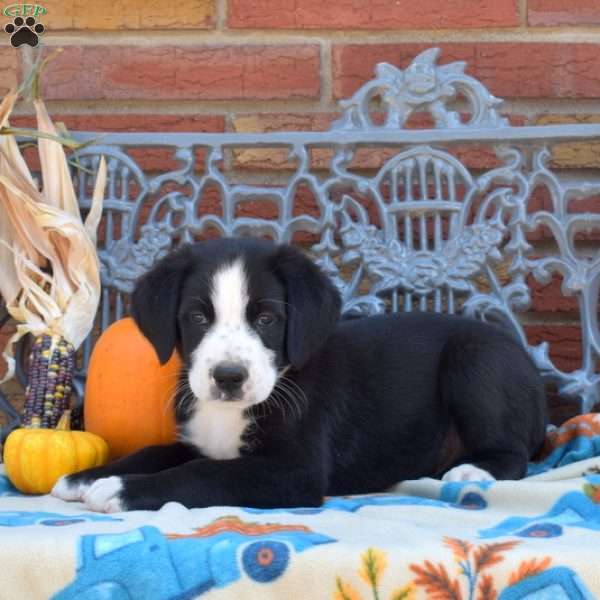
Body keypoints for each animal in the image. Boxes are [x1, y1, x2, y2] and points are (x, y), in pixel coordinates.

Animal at [51, 238, 548, 510]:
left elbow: (202, 474)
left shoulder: (294, 471)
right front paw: (88, 476)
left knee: (513, 454)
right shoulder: (200, 442)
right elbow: (155, 452)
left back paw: (471, 470)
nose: (228, 377)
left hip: (476, 360)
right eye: (196, 317)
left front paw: (119, 490)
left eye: (267, 319)